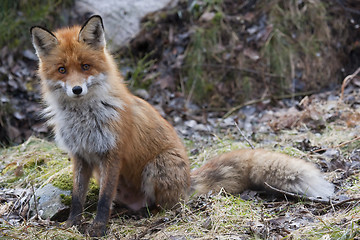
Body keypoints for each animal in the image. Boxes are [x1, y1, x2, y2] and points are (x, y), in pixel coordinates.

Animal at [31, 15, 334, 237]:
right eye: (62, 70)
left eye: (85, 66)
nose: (77, 90)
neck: (84, 119)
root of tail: (188, 180)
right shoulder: (80, 155)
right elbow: (77, 197)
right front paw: (72, 225)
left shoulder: (112, 153)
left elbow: (103, 199)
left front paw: (98, 228)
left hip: (158, 166)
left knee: (166, 205)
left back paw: (153, 215)